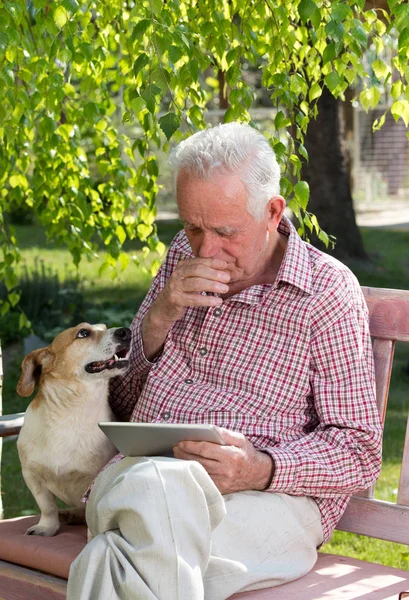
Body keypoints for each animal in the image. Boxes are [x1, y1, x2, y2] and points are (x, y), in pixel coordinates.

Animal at [15, 322, 131, 536]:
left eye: (105, 327)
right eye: (83, 333)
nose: (127, 331)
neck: (72, 412)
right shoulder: (32, 476)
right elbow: (47, 507)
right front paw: (46, 527)